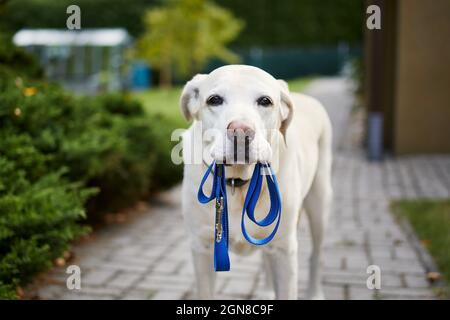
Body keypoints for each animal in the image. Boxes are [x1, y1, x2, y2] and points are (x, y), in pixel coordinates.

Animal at [178, 65, 330, 300]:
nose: (240, 131)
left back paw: (314, 293)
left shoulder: (284, 249)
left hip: (319, 205)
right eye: (214, 100)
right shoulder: (202, 247)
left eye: (265, 101)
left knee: (316, 253)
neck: (237, 182)